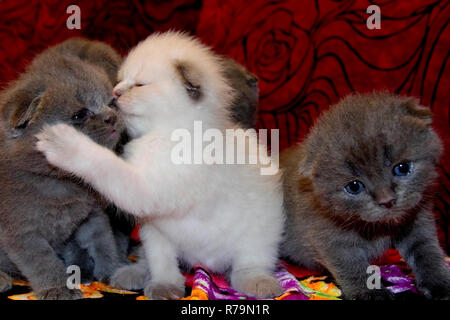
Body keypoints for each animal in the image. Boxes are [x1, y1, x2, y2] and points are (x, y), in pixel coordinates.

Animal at [0, 38, 125, 300]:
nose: (111, 117)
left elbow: (104, 242)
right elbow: (44, 262)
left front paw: (114, 270)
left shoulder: (91, 216)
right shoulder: (22, 232)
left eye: (110, 103)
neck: (63, 184)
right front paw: (58, 288)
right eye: (79, 115)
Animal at [37, 31, 284, 298]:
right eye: (120, 81)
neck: (166, 134)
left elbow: (103, 164)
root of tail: (206, 266)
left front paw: (62, 142)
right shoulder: (153, 225)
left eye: (139, 85)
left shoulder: (147, 189)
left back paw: (258, 282)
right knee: (150, 260)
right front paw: (164, 286)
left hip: (258, 234)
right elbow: (162, 264)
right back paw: (132, 274)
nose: (114, 94)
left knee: (249, 263)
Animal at [282, 92, 450, 300]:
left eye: (402, 168)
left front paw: (439, 283)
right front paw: (370, 292)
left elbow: (427, 251)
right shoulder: (330, 237)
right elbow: (352, 266)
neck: (378, 227)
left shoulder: (417, 220)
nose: (387, 201)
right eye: (354, 186)